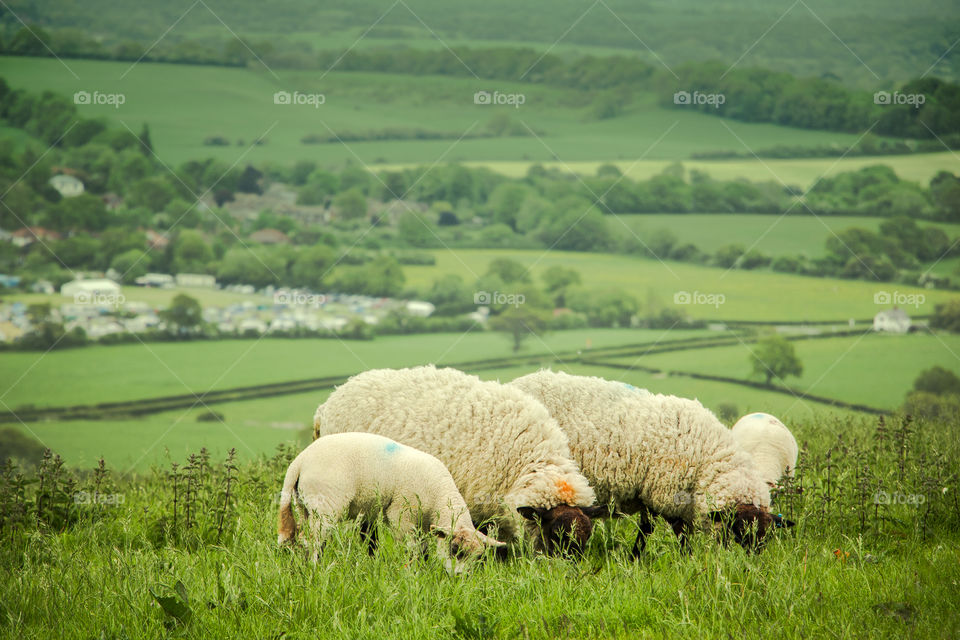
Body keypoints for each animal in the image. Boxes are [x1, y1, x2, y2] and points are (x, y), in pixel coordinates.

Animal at [276, 432, 506, 564]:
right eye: (455, 549)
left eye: (478, 558)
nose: (459, 579)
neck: (439, 495)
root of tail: (299, 461)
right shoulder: (401, 514)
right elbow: (412, 548)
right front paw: (411, 570)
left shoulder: (422, 523)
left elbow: (422, 548)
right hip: (325, 504)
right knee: (312, 541)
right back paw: (316, 569)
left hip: (306, 505)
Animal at [312, 368, 604, 552]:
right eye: (555, 535)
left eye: (586, 538)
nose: (567, 577)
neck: (527, 460)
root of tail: (327, 403)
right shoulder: (477, 501)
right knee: (366, 530)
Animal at [510, 372, 788, 552]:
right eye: (740, 531)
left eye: (766, 536)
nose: (750, 565)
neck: (706, 457)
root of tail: (514, 382)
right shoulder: (664, 493)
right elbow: (672, 532)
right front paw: (683, 558)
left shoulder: (652, 494)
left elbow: (649, 528)